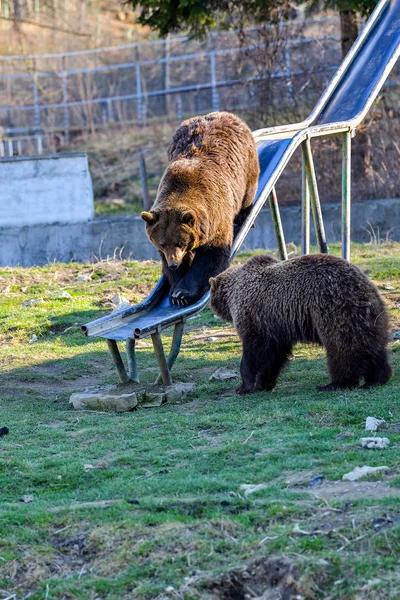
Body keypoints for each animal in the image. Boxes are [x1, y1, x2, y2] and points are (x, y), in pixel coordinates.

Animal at [141, 111, 260, 304]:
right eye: (162, 242)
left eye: (180, 242)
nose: (174, 264)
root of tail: (225, 114)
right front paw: (175, 288)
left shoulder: (216, 218)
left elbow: (211, 256)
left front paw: (183, 292)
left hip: (246, 165)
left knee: (249, 191)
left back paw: (244, 213)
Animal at [211, 253, 392, 394]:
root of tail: (362, 285)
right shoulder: (277, 325)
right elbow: (274, 355)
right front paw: (263, 384)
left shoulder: (255, 316)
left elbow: (255, 350)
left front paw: (244, 386)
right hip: (369, 317)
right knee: (372, 346)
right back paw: (376, 379)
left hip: (333, 308)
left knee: (342, 349)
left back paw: (335, 384)